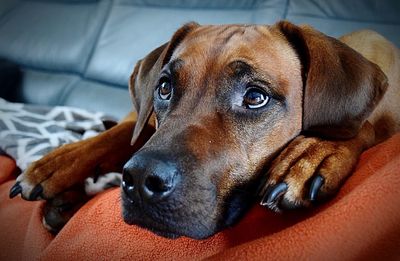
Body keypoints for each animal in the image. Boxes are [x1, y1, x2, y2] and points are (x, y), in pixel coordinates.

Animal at [7, 21, 398, 239]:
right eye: (164, 88)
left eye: (255, 96)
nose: (140, 180)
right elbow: (125, 133)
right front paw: (55, 164)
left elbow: (362, 123)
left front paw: (312, 152)